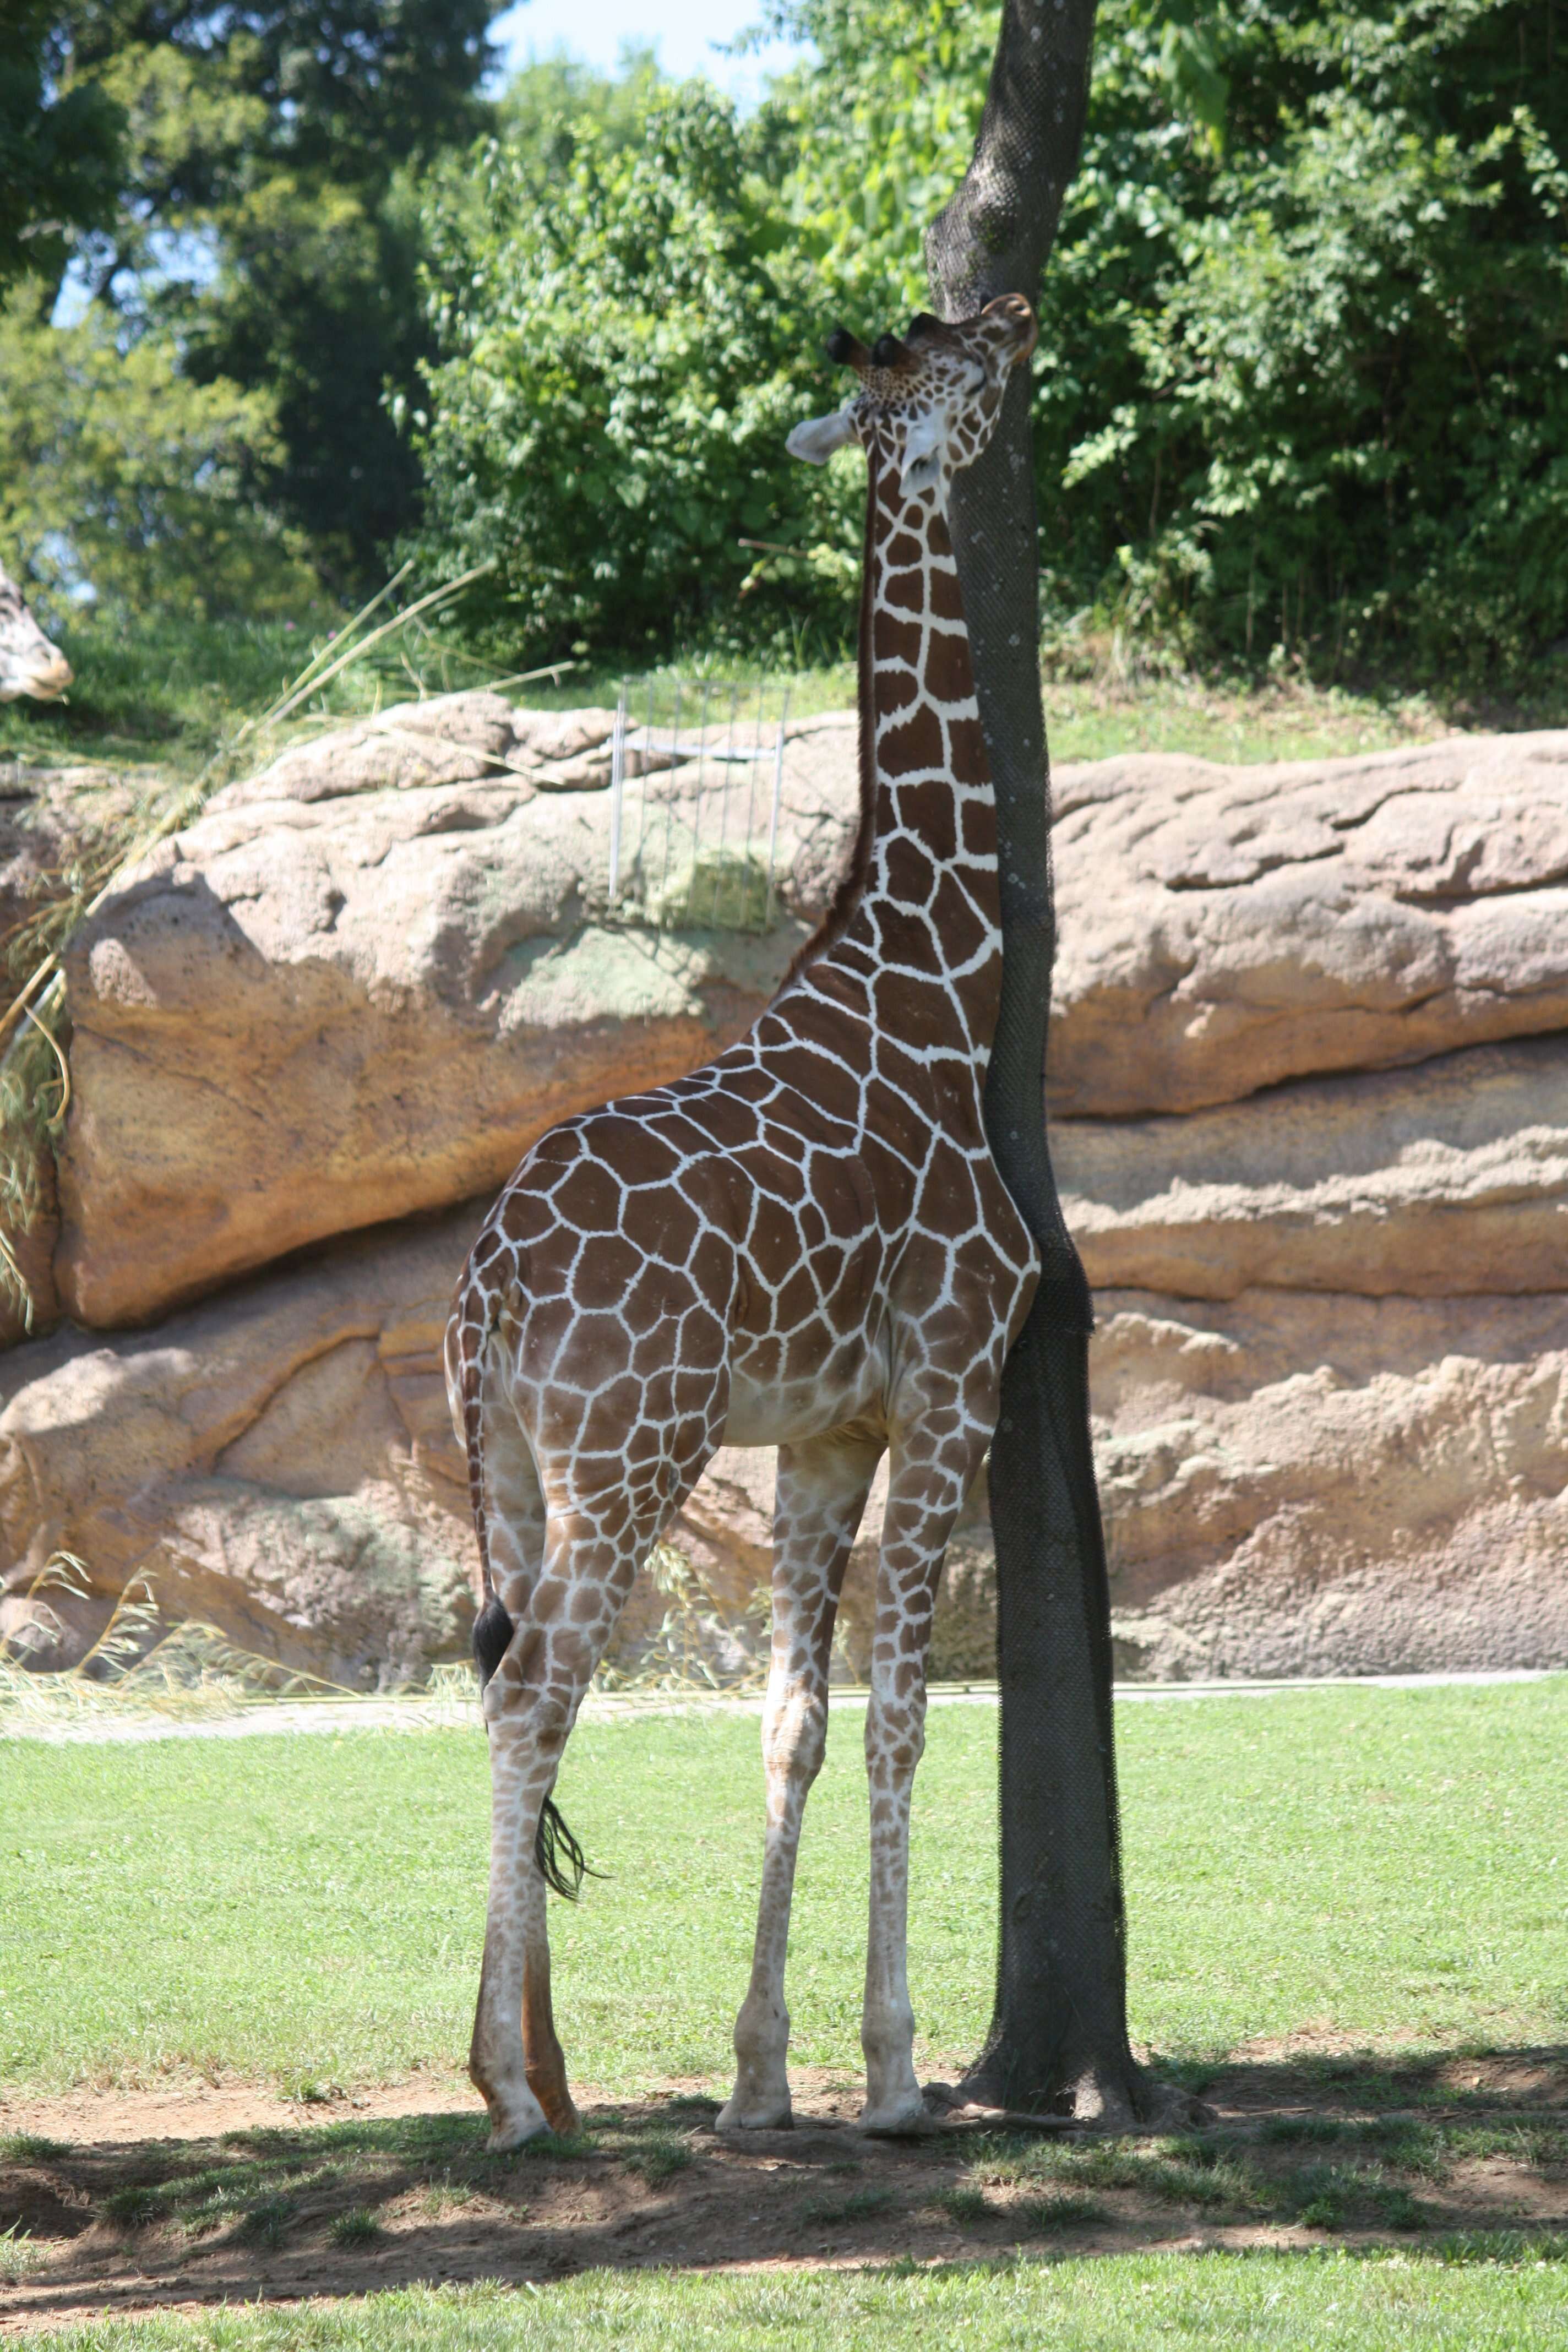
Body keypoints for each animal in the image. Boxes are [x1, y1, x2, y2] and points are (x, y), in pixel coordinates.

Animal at [444, 294, 1043, 2154]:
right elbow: (904, 1718)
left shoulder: (826, 1434)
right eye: (945, 356)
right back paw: (505, 2088)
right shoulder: (950, 1386)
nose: (1020, 310)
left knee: (512, 1684)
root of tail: (482, 1291)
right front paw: (900, 2073)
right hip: (632, 1450)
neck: (934, 980)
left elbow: (789, 1725)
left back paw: (553, 2063)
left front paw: (761, 2075)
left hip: (514, 1462)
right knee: (532, 1690)